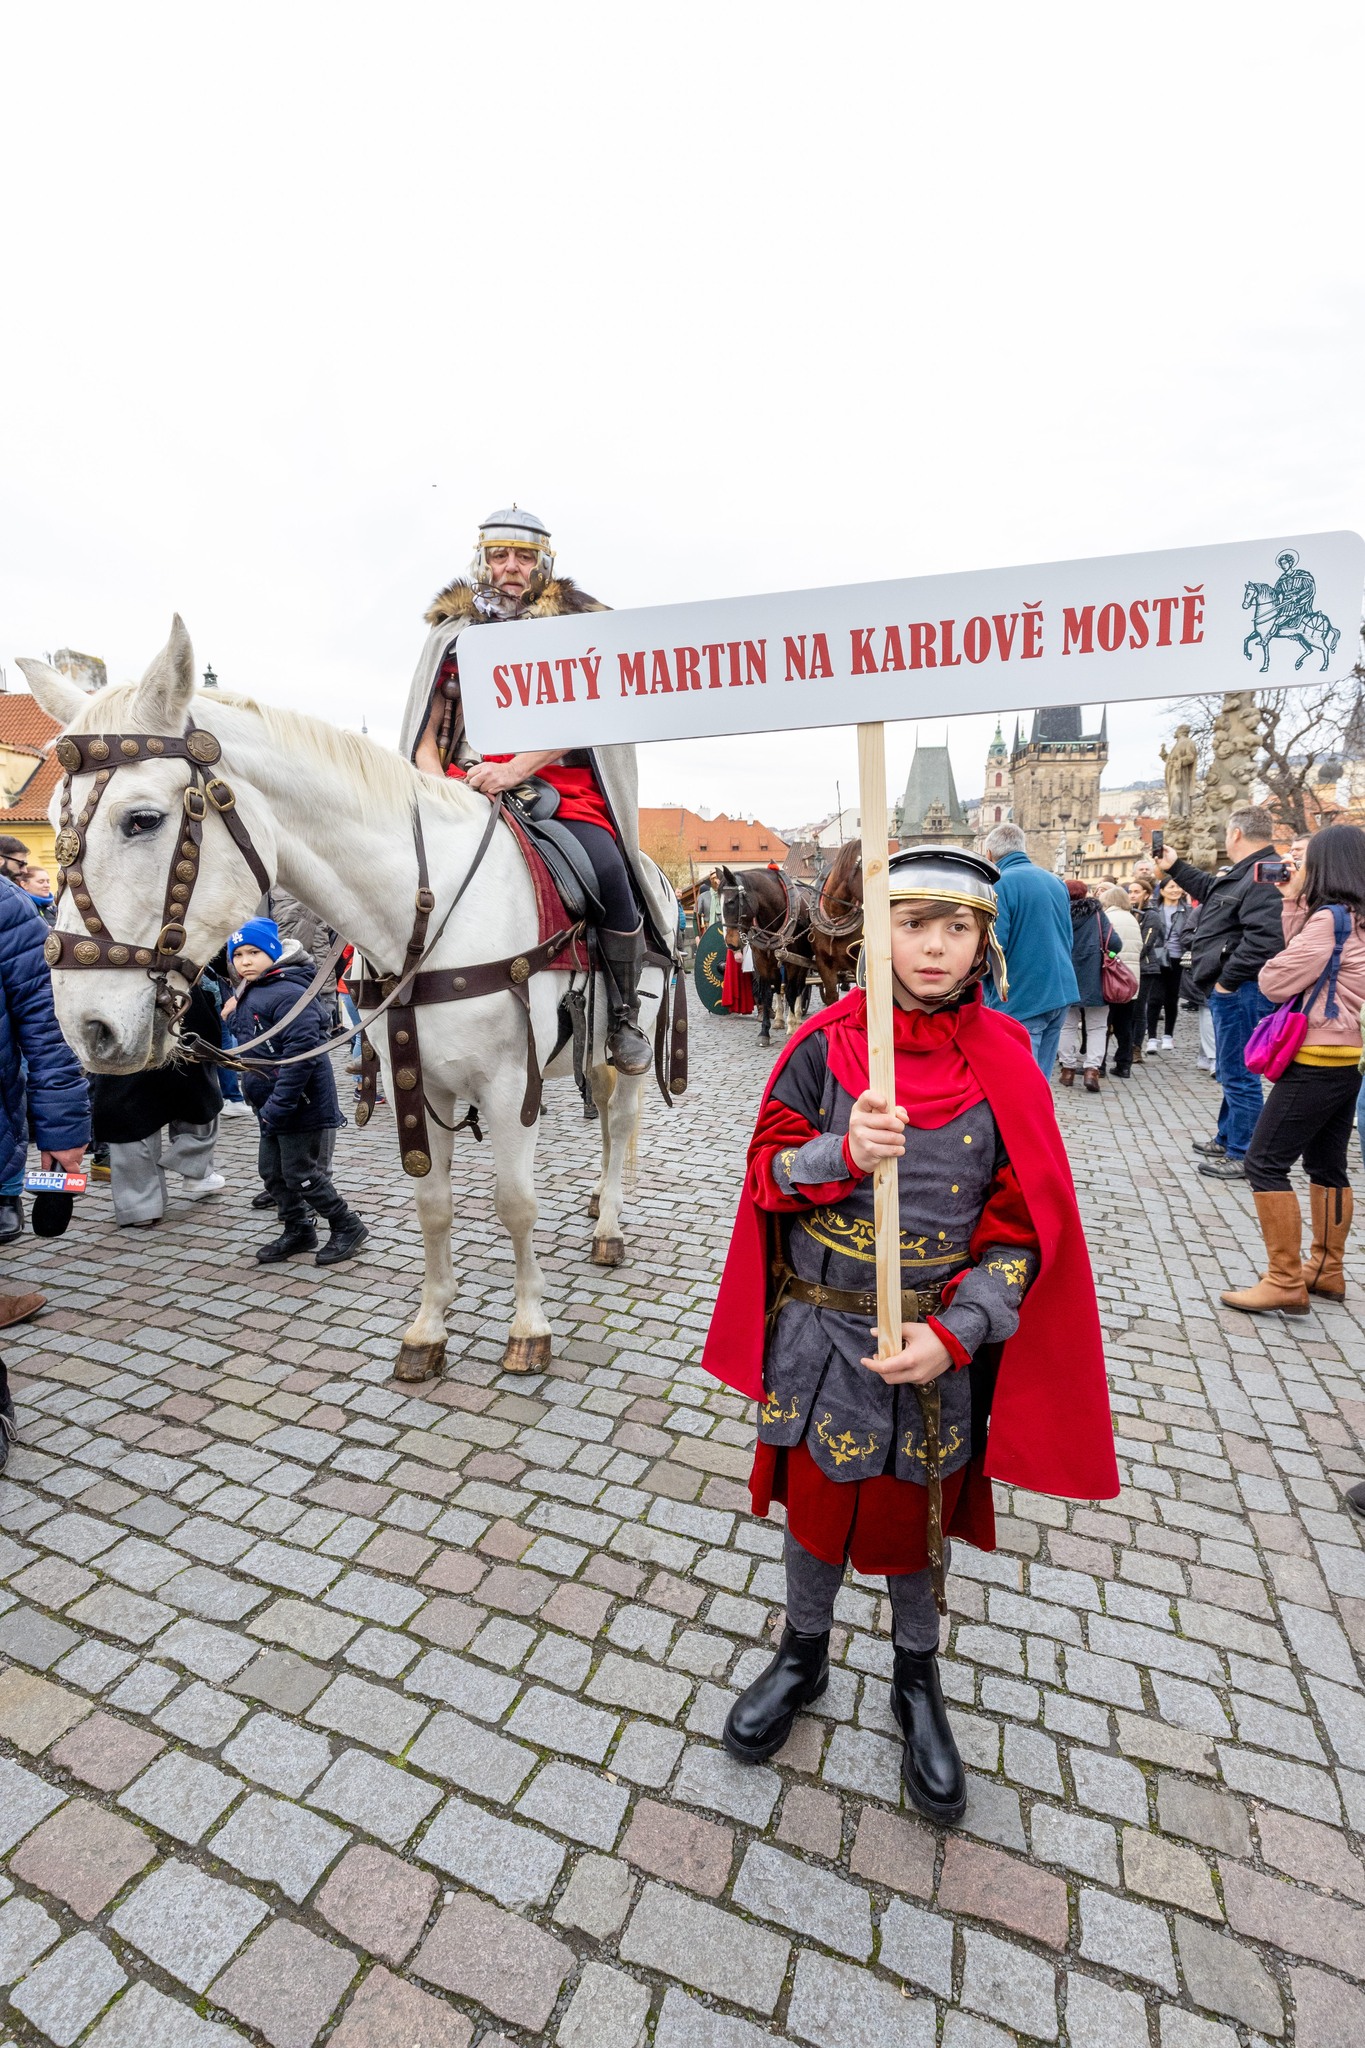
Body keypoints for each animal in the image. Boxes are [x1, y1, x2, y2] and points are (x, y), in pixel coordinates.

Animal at [18, 622, 679, 1384]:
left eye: (143, 820)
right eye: (55, 820)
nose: (85, 1027)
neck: (426, 907)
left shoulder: (511, 1084)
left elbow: (514, 1205)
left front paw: (528, 1327)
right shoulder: (416, 1080)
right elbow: (432, 1204)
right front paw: (428, 1328)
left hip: (628, 1036)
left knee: (621, 1118)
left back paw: (609, 1227)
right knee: (602, 1115)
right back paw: (601, 1199)